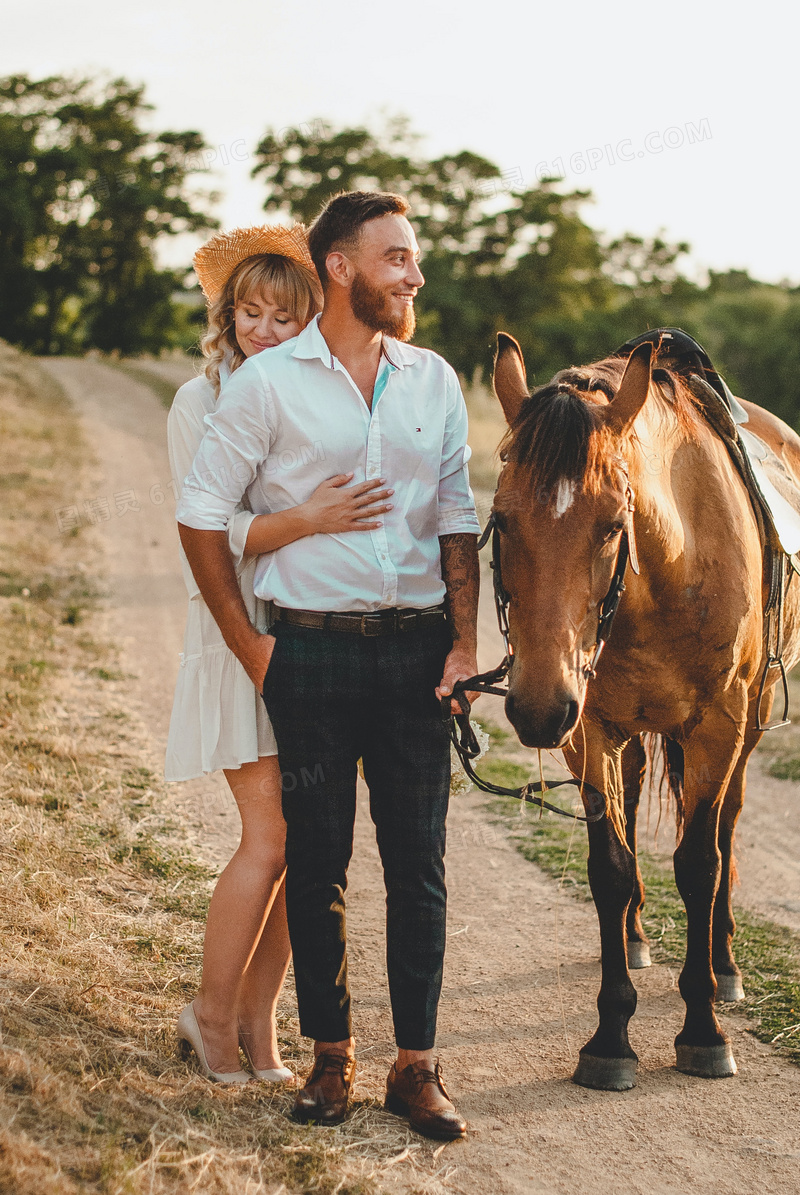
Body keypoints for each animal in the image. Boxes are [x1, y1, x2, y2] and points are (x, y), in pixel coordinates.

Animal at [487, 334, 798, 1094]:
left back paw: (724, 965)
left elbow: (700, 863)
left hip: (749, 723)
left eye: (610, 526)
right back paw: (631, 938)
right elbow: (612, 866)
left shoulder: (718, 726)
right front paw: (610, 1037)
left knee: (727, 827)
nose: (538, 706)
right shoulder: (591, 730)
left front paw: (704, 1029)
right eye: (502, 519)